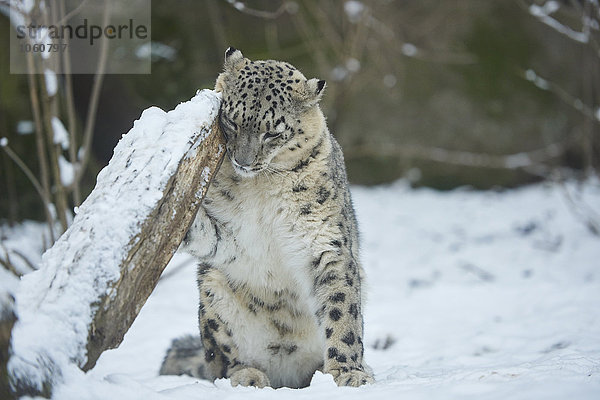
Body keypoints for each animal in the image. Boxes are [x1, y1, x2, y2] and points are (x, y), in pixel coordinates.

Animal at [162, 47, 372, 388]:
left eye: (273, 131)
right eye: (231, 120)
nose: (243, 162)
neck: (261, 185)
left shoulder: (324, 242)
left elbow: (341, 309)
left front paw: (348, 372)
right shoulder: (232, 236)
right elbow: (206, 234)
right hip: (213, 291)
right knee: (218, 360)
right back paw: (246, 375)